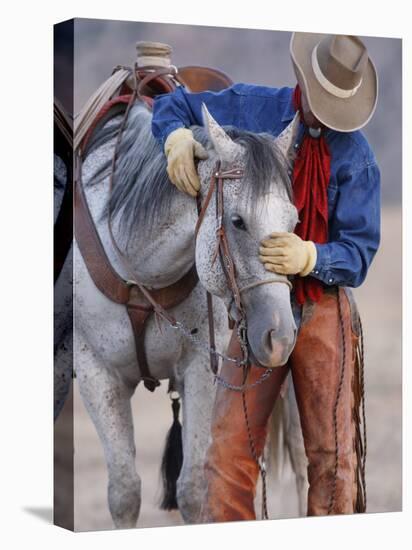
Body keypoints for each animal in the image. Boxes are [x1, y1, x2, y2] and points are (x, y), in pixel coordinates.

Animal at [72, 100, 302, 532]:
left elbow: (193, 490)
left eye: (294, 222)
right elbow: (124, 492)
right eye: (237, 221)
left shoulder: (200, 368)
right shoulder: (96, 373)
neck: (140, 270)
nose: (279, 338)